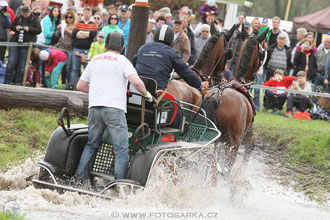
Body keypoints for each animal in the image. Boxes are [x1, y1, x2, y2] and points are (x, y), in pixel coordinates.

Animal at [196, 29, 268, 174]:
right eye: (262, 52)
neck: (239, 82)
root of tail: (216, 98)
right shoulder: (248, 136)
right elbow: (247, 153)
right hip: (233, 144)